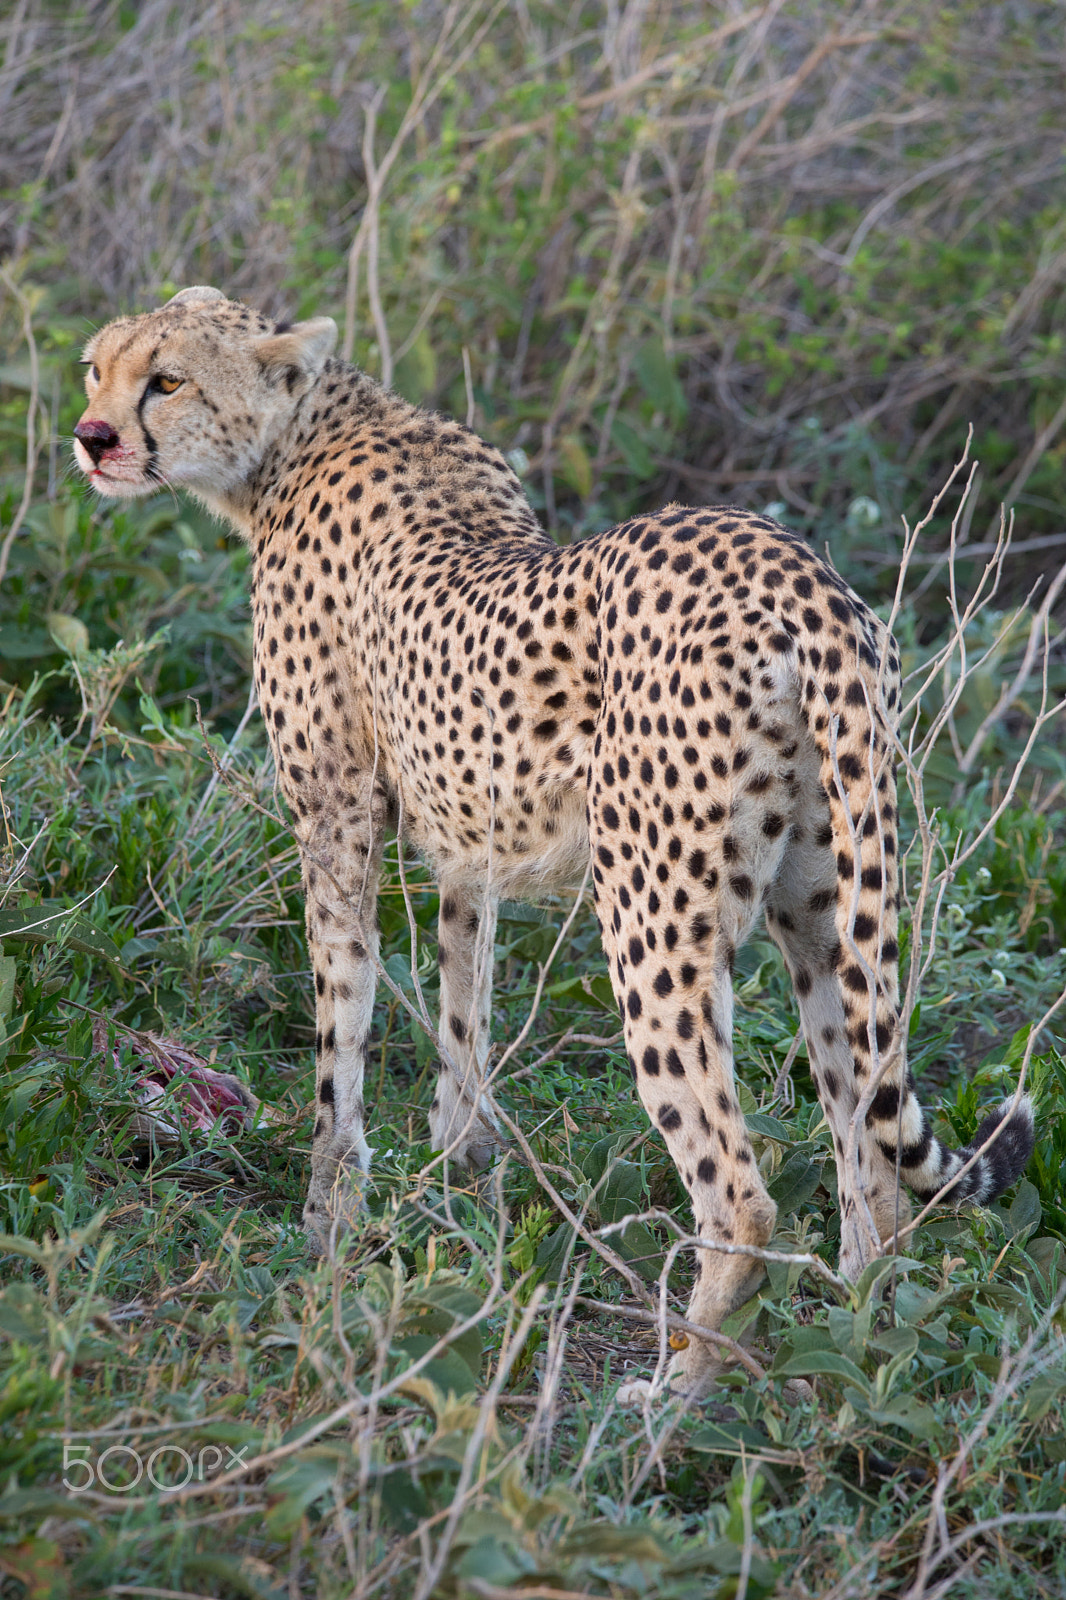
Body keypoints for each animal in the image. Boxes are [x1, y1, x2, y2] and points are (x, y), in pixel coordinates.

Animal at [74, 286, 1034, 1395]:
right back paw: (851, 1345)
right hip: (822, 901)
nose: (92, 438)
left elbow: (340, 1025)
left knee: (740, 1189)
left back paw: (678, 1389)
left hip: (654, 918)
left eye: (167, 380)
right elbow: (464, 999)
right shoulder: (465, 836)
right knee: (868, 1153)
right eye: (95, 367)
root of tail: (801, 575)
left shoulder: (337, 818)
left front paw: (328, 1223)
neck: (300, 436)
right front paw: (459, 1172)